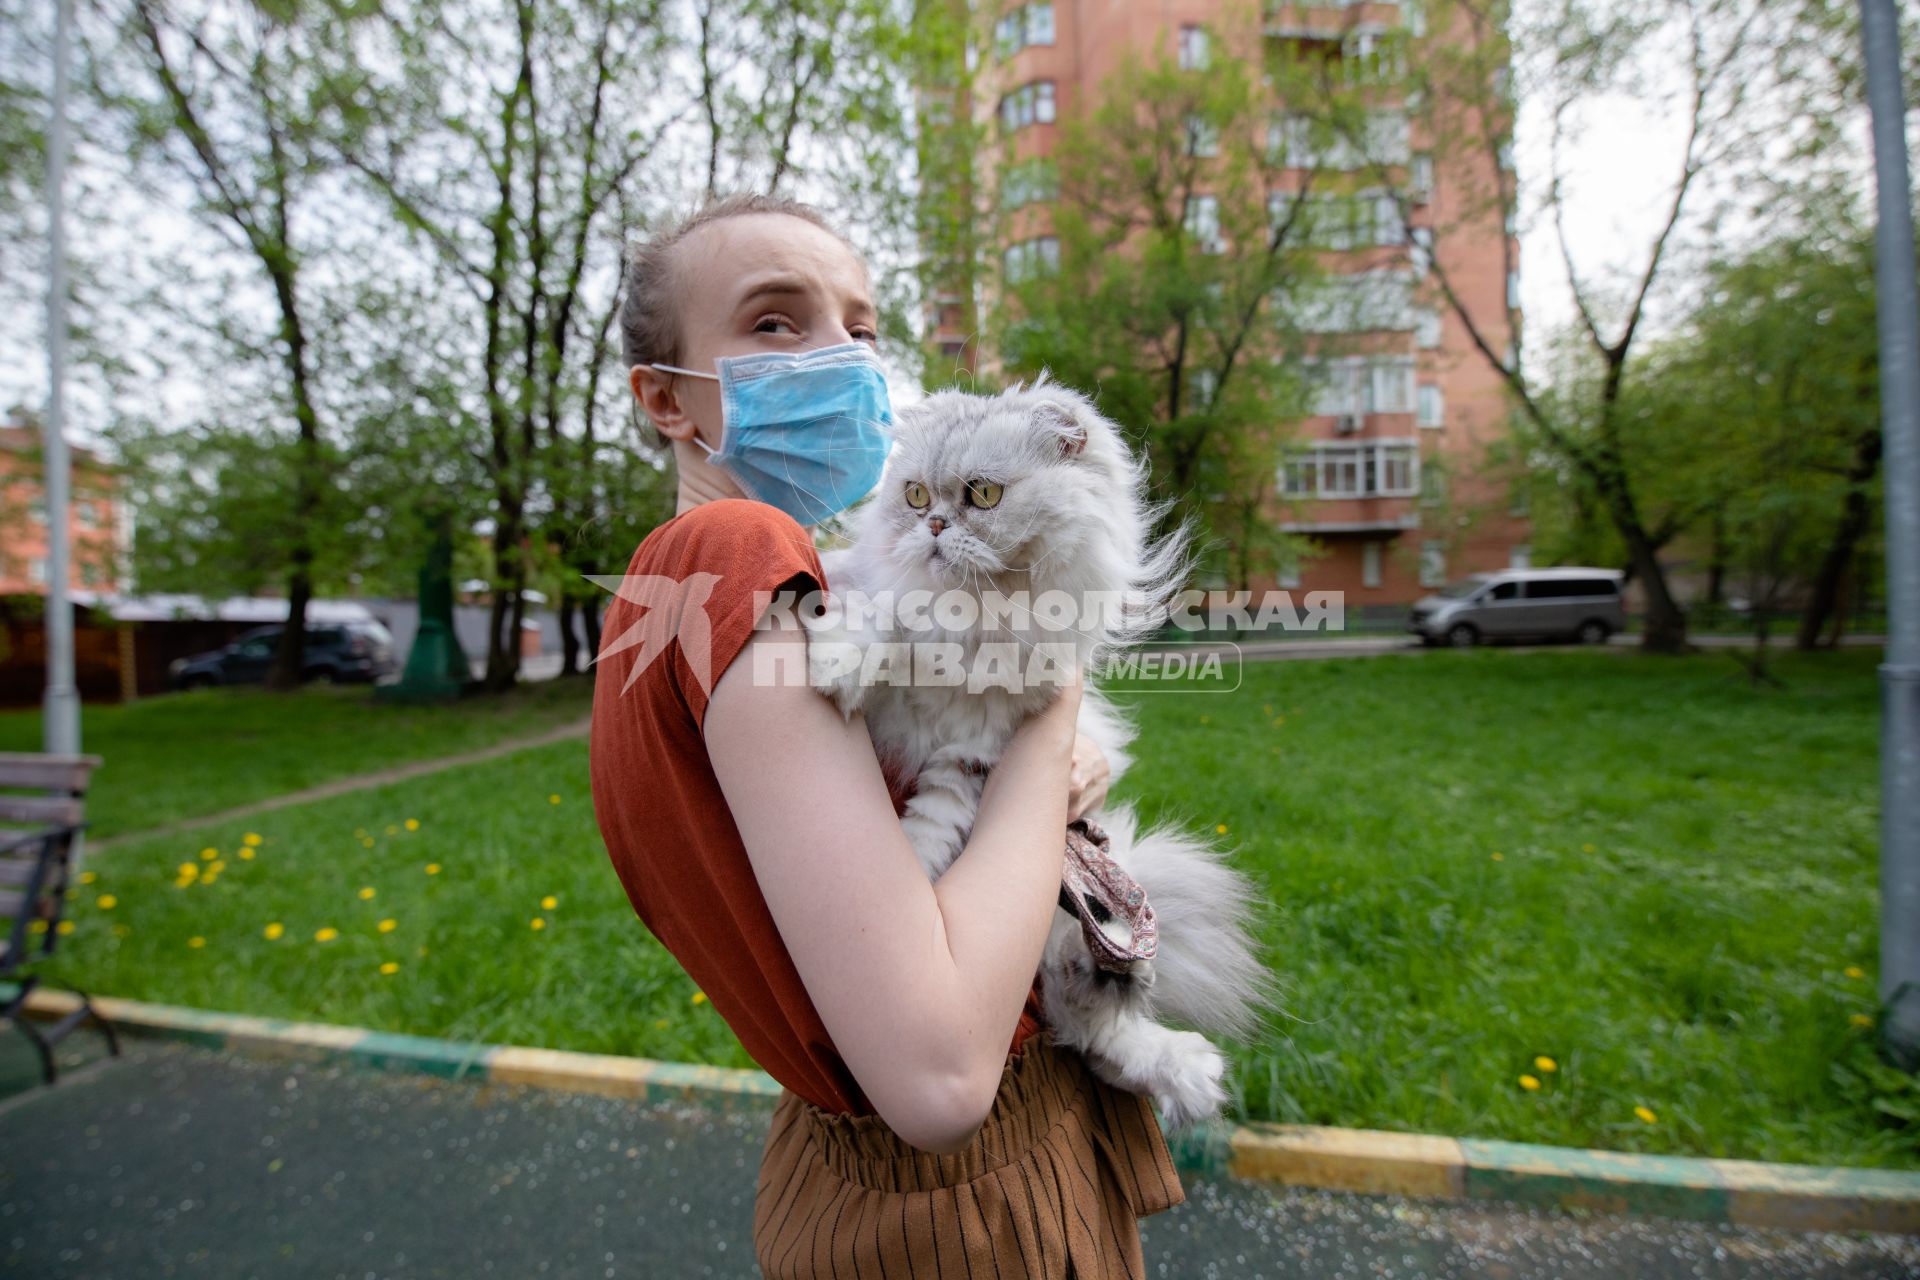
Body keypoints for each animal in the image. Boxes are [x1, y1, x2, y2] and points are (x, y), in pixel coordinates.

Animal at [802, 379, 1267, 1128]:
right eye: (914, 497)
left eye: (984, 495)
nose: (935, 527)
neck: (976, 620)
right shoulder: (886, 609)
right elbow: (876, 622)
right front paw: (837, 666)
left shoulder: (973, 758)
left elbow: (928, 839)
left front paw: (918, 885)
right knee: (1080, 1021)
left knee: (1093, 1022)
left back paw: (1180, 1059)